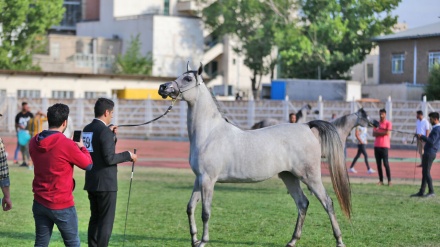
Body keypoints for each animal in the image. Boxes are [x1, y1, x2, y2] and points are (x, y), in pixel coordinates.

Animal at [158, 62, 350, 246]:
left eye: (188, 78)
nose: (163, 87)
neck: (210, 133)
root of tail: (306, 126)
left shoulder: (208, 179)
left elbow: (206, 212)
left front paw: (203, 241)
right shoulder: (199, 179)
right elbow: (190, 207)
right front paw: (194, 240)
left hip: (310, 177)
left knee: (327, 203)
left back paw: (339, 241)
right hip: (289, 176)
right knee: (302, 204)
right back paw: (292, 241)